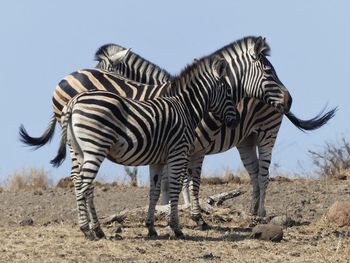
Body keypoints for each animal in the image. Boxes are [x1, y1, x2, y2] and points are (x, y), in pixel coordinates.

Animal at [49, 55, 239, 239]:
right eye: (229, 92)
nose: (235, 120)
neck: (186, 107)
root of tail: (74, 101)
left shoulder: (158, 160)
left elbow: (154, 192)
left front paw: (151, 228)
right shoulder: (178, 152)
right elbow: (175, 189)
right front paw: (176, 228)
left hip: (78, 151)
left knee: (81, 184)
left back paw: (97, 230)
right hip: (95, 148)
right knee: (84, 185)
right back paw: (87, 230)